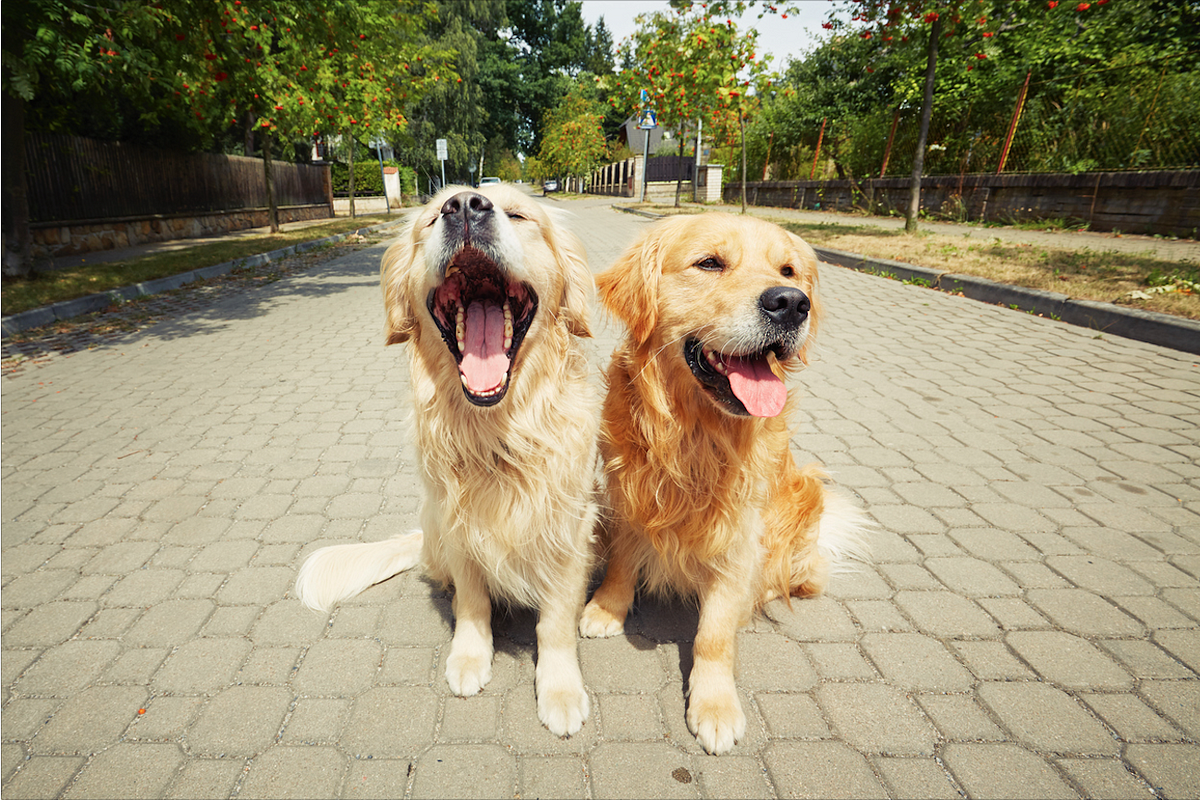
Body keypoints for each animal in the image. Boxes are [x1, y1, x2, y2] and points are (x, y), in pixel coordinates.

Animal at [296, 184, 600, 734]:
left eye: (519, 214)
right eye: (433, 216)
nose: (465, 206)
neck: (496, 433)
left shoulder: (568, 531)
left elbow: (555, 622)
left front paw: (561, 689)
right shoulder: (459, 524)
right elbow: (473, 601)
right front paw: (469, 656)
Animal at [576, 211, 868, 753]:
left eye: (788, 270)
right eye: (710, 263)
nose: (791, 303)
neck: (694, 433)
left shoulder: (739, 534)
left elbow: (713, 632)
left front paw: (714, 704)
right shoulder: (627, 494)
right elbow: (623, 561)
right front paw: (606, 608)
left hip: (802, 504)